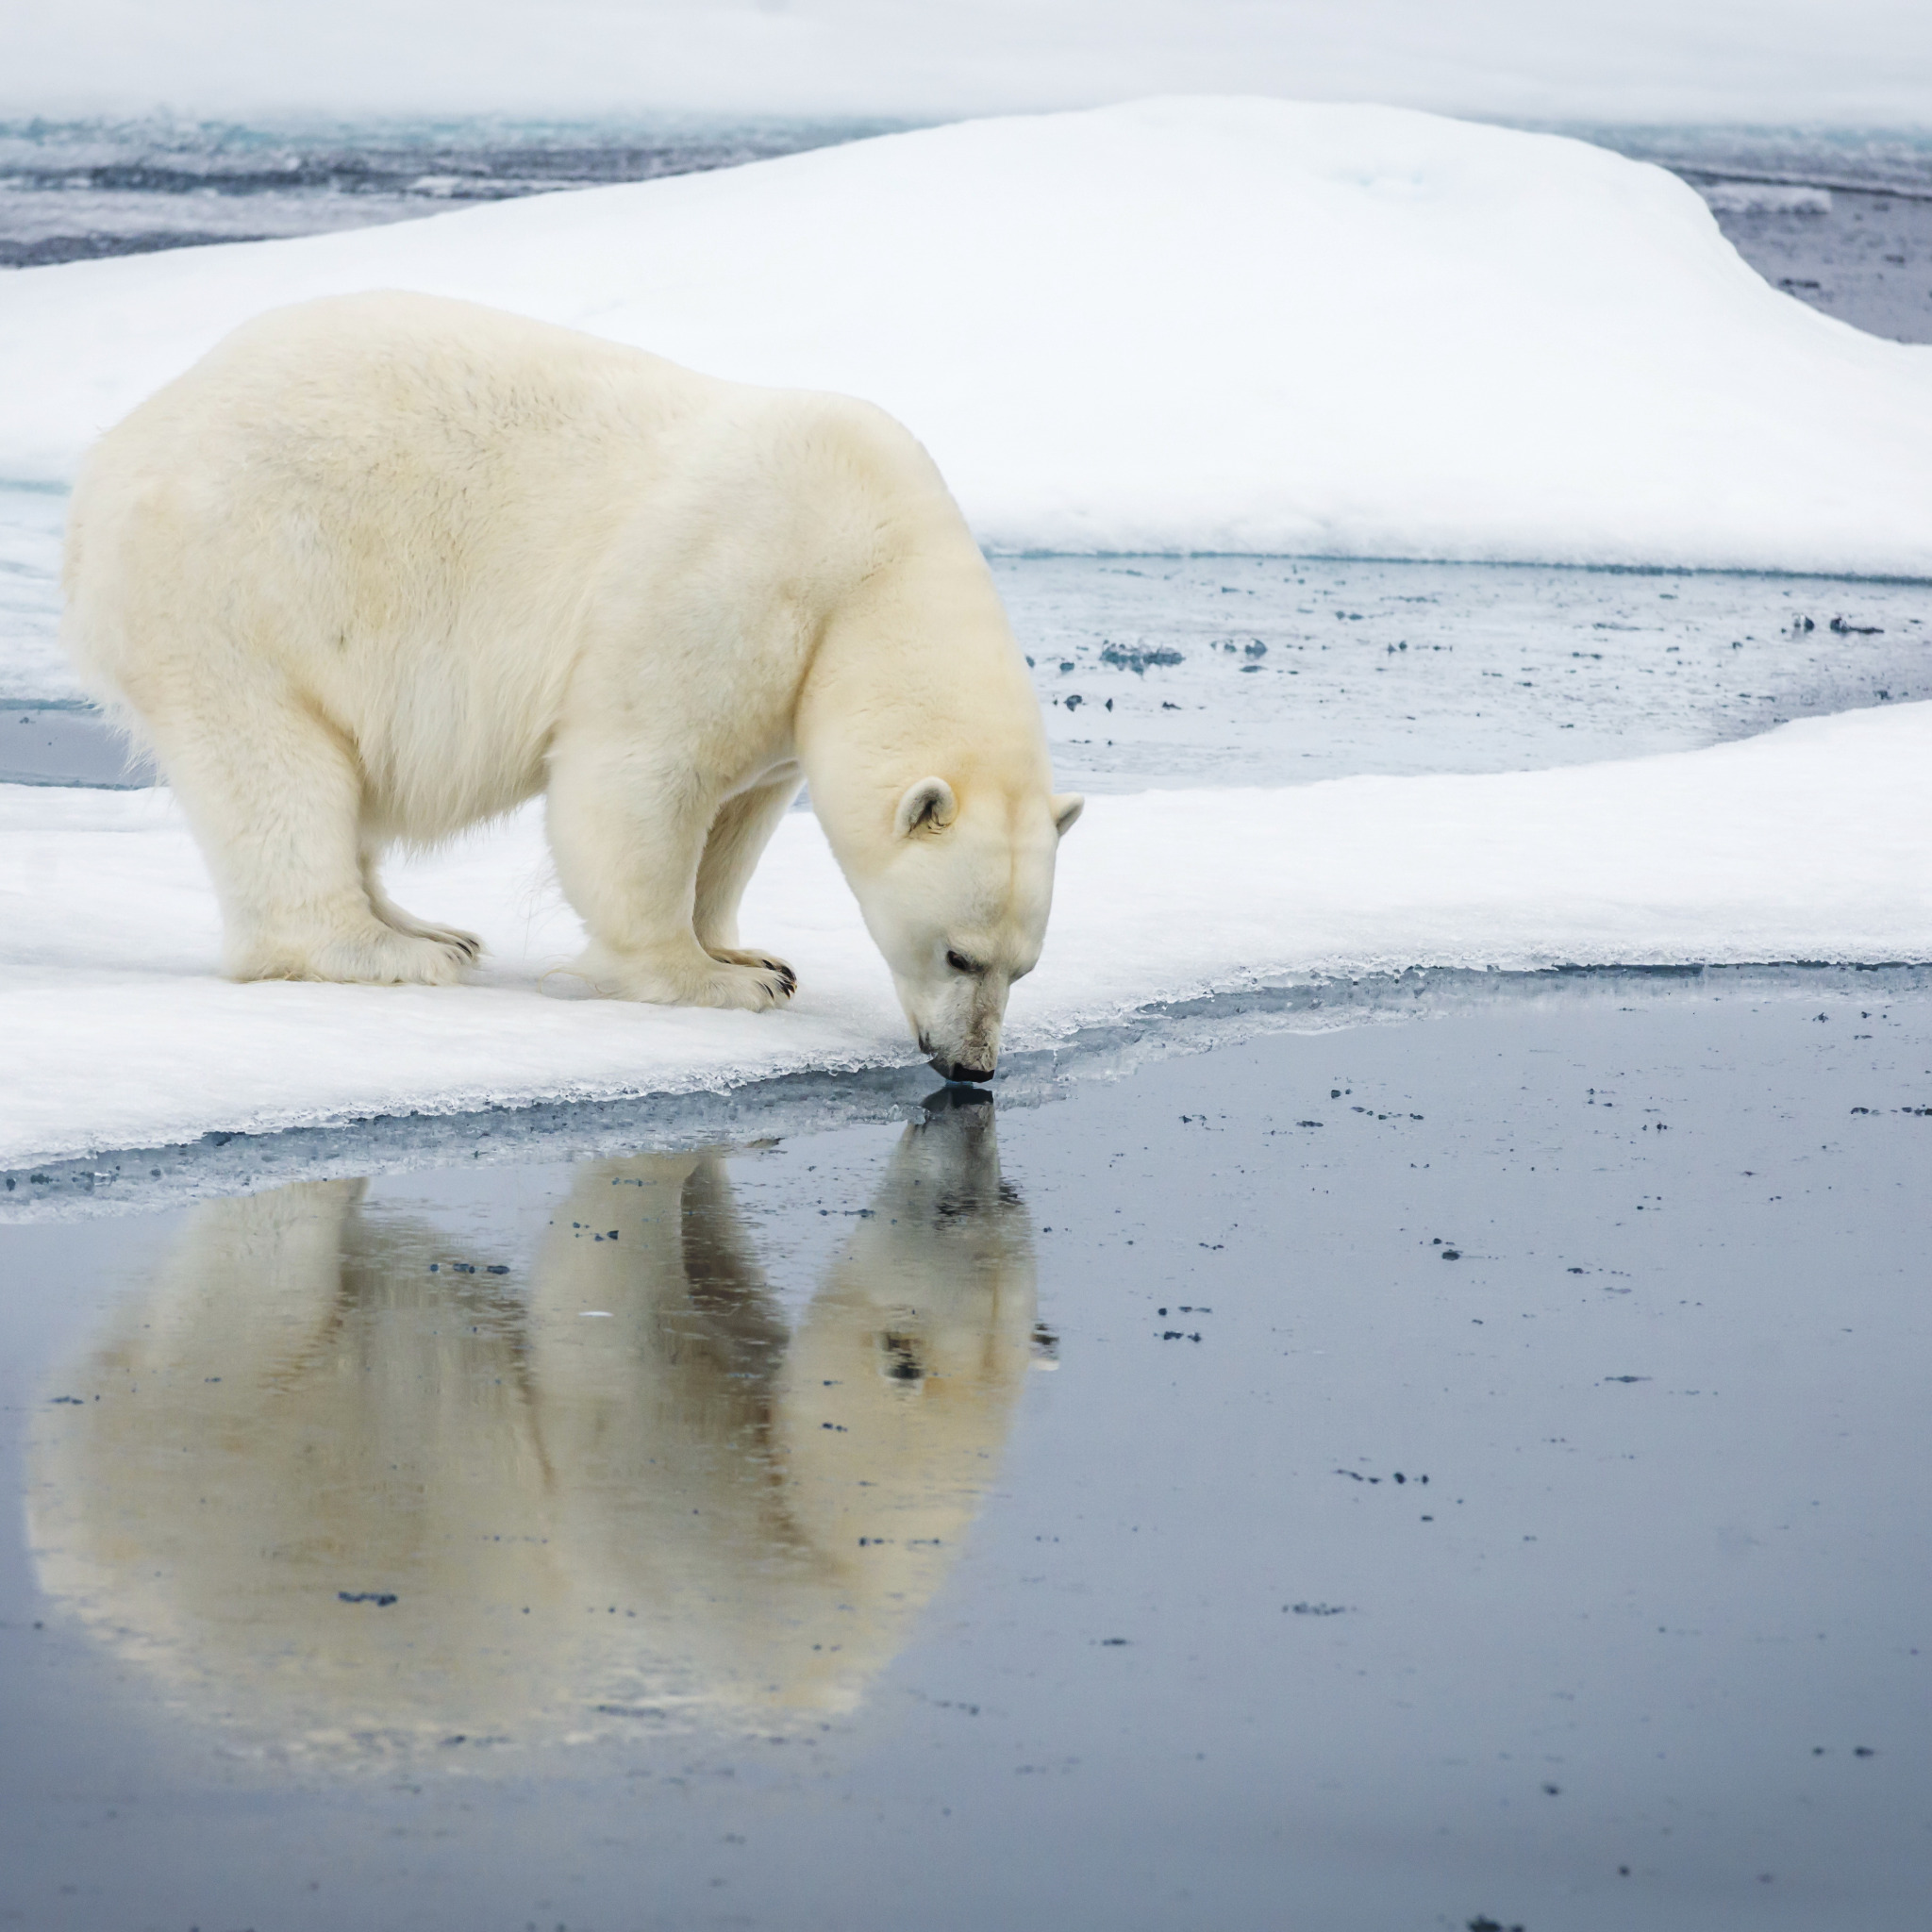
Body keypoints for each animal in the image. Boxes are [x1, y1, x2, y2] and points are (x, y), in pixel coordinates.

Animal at [60, 297, 1081, 1090]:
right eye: (958, 952)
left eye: (1025, 968)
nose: (973, 1065)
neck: (871, 566)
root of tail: (112, 457)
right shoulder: (723, 589)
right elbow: (638, 779)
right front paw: (712, 980)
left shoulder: (791, 686)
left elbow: (741, 811)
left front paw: (745, 949)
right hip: (245, 587)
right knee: (277, 771)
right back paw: (393, 951)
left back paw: (433, 927)